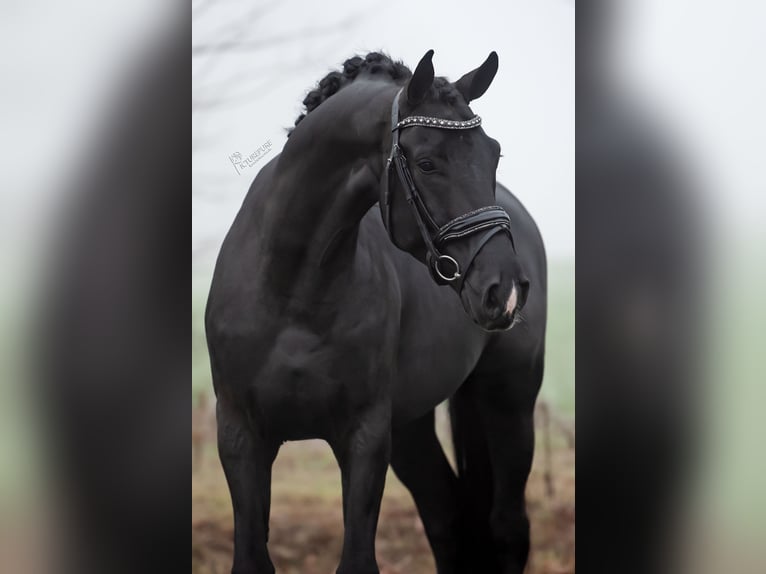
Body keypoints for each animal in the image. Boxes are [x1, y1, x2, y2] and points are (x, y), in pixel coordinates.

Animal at [205, 50, 547, 574]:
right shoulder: (240, 437)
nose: (504, 290)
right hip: (410, 426)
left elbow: (358, 558)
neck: (292, 294)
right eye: (427, 162)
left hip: (508, 402)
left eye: (494, 154)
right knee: (447, 518)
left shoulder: (364, 439)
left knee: (508, 528)